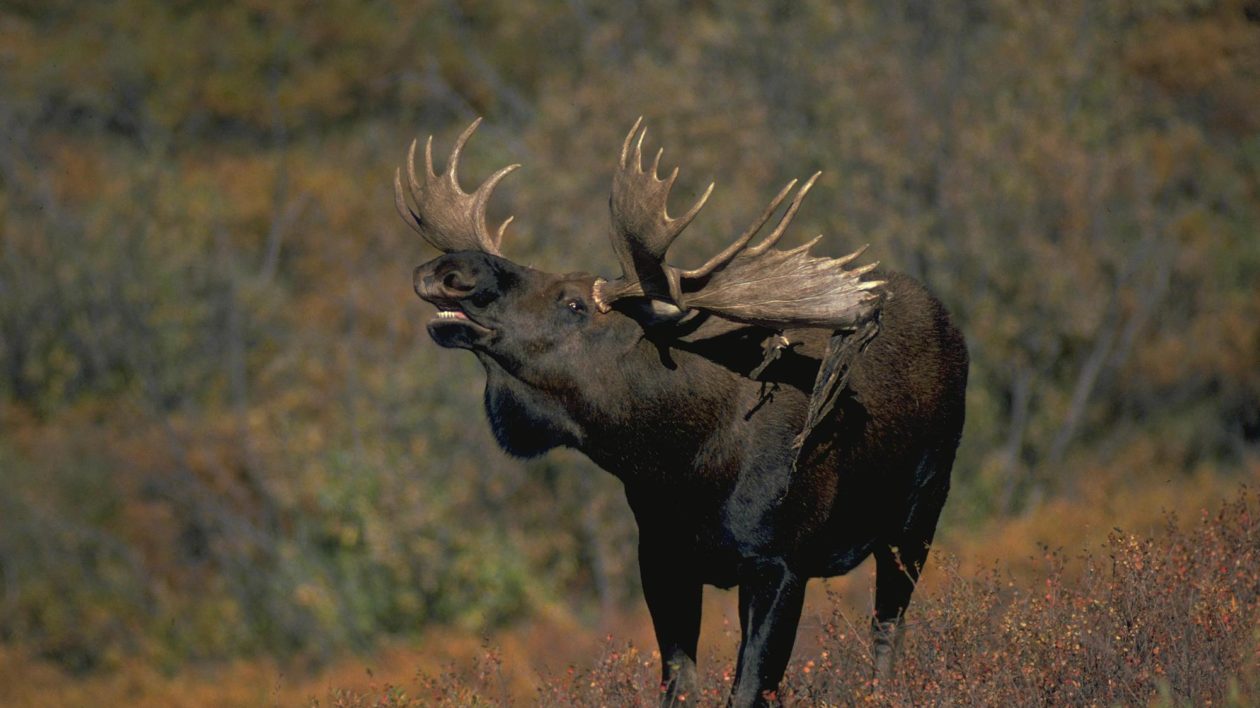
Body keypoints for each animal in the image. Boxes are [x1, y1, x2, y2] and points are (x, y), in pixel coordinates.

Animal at [398, 118, 967, 700]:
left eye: (574, 302)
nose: (453, 270)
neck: (677, 464)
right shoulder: (662, 557)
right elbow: (681, 685)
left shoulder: (780, 563)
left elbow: (747, 690)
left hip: (919, 512)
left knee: (888, 628)